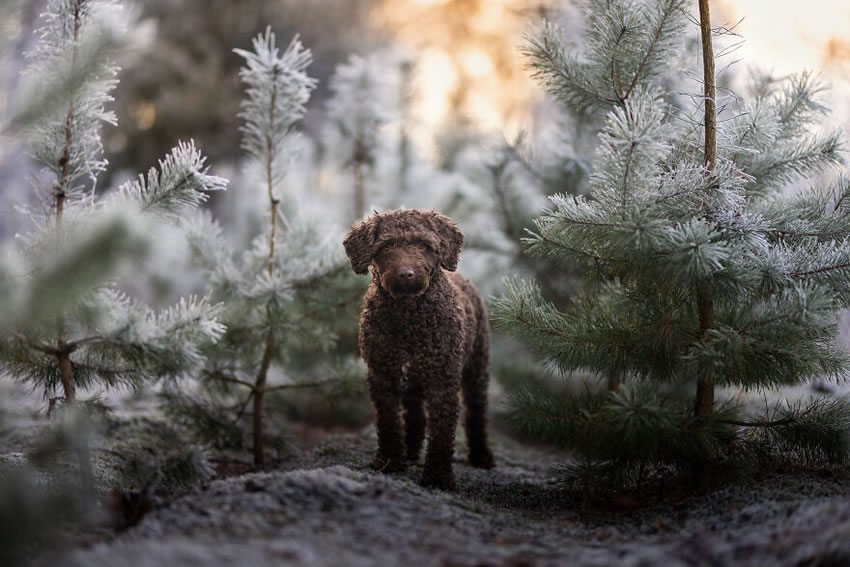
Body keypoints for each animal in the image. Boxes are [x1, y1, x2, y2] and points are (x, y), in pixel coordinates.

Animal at [342, 211, 494, 490]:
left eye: (424, 245)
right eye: (387, 246)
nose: (406, 274)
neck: (409, 317)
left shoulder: (442, 381)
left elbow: (442, 433)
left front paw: (438, 477)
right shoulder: (382, 376)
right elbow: (389, 423)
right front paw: (389, 462)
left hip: (477, 370)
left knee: (477, 414)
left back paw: (481, 456)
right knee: (415, 417)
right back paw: (410, 452)